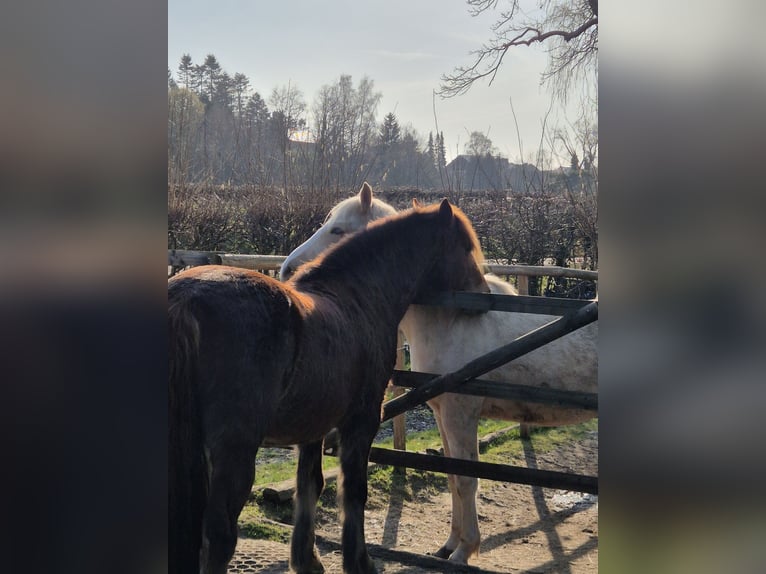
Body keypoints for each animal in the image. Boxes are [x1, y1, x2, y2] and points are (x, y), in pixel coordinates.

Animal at [169, 199, 489, 574]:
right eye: (465, 247)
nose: (483, 297)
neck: (358, 297)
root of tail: (185, 301)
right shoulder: (361, 422)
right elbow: (354, 491)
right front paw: (359, 562)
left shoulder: (312, 427)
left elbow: (310, 486)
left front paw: (307, 560)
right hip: (235, 449)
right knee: (219, 536)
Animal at [280, 184, 598, 565]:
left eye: (338, 230)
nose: (287, 271)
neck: (451, 319)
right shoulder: (442, 412)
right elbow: (451, 476)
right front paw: (449, 545)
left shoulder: (462, 412)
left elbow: (467, 479)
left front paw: (464, 551)